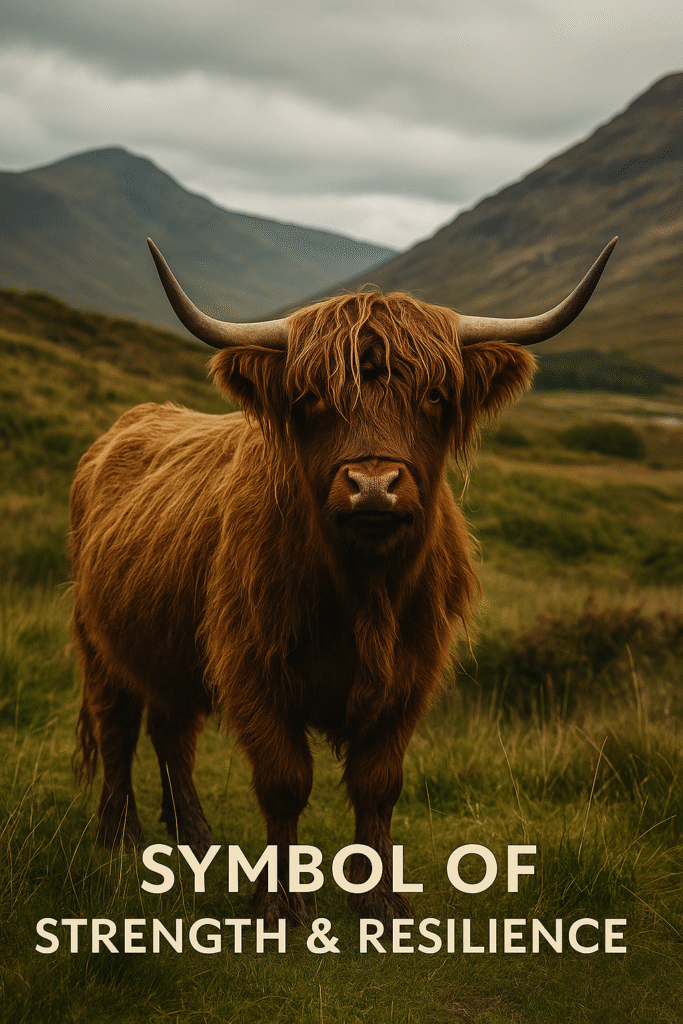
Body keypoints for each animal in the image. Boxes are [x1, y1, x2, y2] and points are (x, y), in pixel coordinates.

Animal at [71, 236, 617, 926]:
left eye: (434, 396)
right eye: (311, 399)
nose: (373, 486)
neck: (363, 590)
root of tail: (127, 425)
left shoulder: (411, 675)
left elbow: (378, 784)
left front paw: (380, 901)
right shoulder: (252, 668)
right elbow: (284, 781)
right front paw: (279, 904)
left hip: (170, 650)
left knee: (172, 732)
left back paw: (196, 841)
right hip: (99, 643)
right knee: (116, 727)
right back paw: (121, 839)